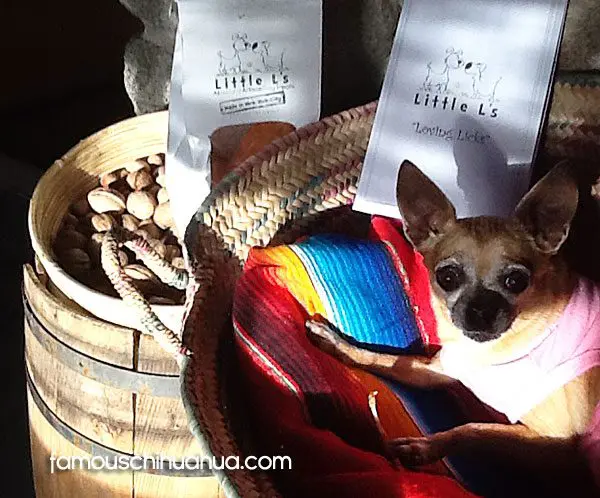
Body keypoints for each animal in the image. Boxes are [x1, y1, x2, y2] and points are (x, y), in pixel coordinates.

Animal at [307, 160, 600, 496]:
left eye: (516, 281)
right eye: (447, 277)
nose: (480, 312)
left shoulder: (556, 444)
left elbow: (475, 430)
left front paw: (424, 447)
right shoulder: (438, 369)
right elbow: (383, 359)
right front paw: (336, 344)